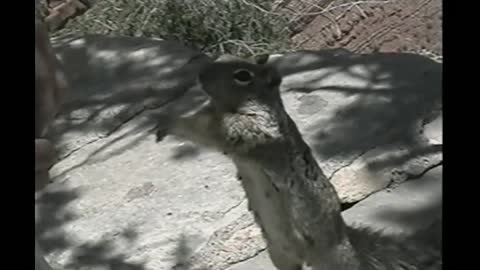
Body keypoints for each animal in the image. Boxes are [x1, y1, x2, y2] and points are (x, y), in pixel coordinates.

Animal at [156, 53, 440, 268]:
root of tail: (347, 240)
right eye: (222, 57)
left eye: (243, 75)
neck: (229, 107)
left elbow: (211, 132)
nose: (201, 74)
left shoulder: (251, 130)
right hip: (279, 254)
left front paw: (166, 120)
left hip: (334, 260)